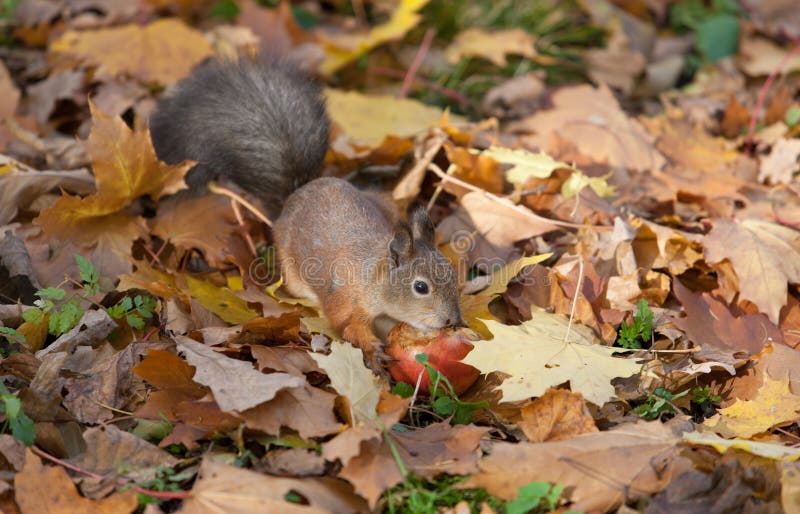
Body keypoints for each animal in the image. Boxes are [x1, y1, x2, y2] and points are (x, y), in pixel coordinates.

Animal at [149, 58, 463, 362]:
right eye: (420, 287)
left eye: (452, 273)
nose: (453, 321)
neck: (373, 277)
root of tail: (297, 192)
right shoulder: (345, 298)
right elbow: (347, 326)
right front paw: (372, 347)